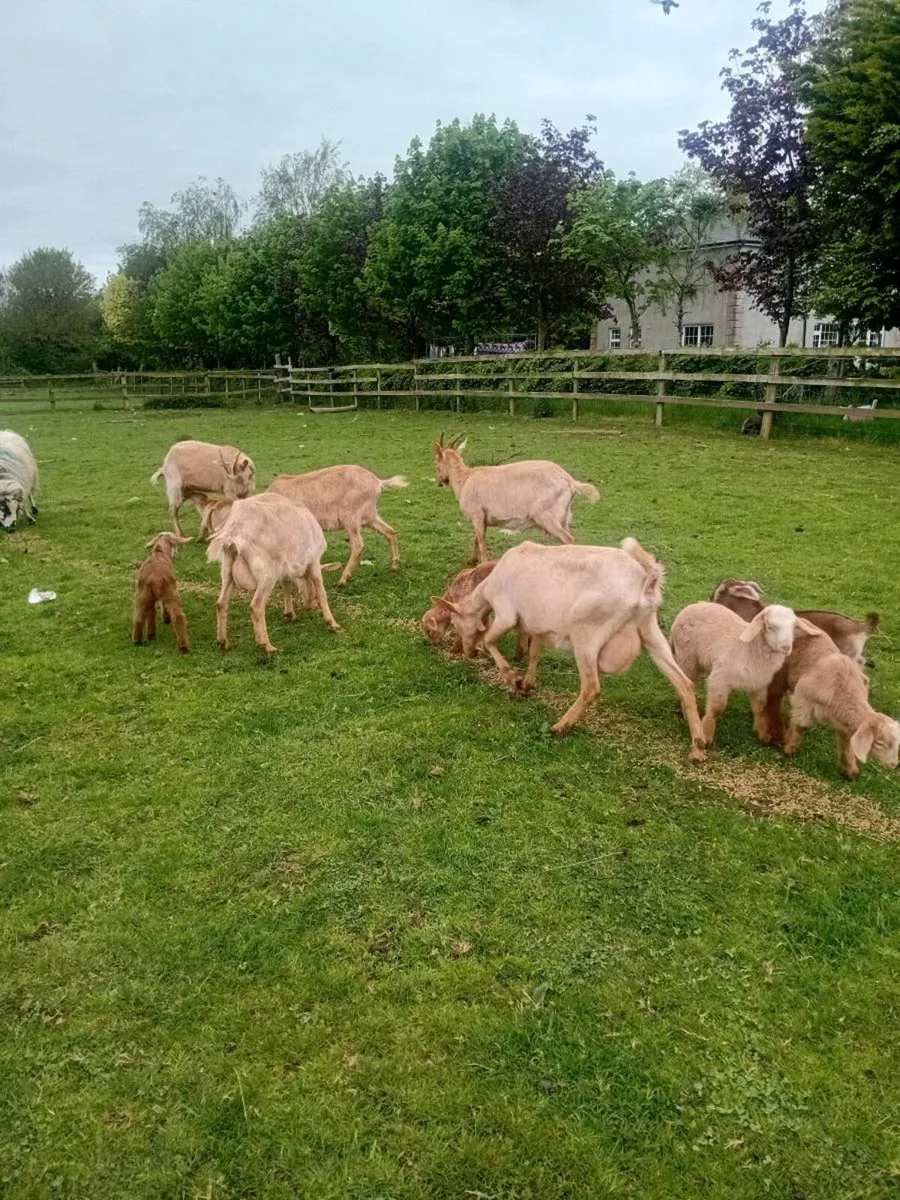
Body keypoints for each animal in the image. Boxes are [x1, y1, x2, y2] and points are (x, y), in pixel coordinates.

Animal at [207, 493, 340, 655]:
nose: (309, 605)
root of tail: (234, 531)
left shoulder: (285, 570)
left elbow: (286, 588)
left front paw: (290, 614)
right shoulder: (314, 559)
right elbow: (321, 590)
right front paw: (333, 624)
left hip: (227, 571)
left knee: (221, 603)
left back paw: (223, 642)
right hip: (267, 574)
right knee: (256, 606)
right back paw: (267, 646)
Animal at [267, 465, 408, 585]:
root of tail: (377, 482)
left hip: (350, 516)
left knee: (358, 545)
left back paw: (343, 579)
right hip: (370, 516)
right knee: (390, 532)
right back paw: (394, 566)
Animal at [431, 537, 707, 760]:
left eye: (456, 623)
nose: (466, 652)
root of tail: (644, 582)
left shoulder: (506, 613)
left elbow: (490, 640)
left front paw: (512, 677)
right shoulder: (539, 626)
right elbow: (534, 653)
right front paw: (526, 684)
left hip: (587, 633)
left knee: (591, 686)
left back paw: (561, 726)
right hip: (650, 631)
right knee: (684, 683)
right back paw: (698, 745)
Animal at [433, 433, 600, 564]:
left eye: (436, 462)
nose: (440, 482)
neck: (465, 479)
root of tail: (570, 481)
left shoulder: (477, 514)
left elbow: (481, 540)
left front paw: (482, 563)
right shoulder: (482, 518)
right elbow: (476, 538)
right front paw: (472, 560)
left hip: (547, 516)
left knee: (568, 539)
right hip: (564, 516)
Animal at [671, 601, 824, 746]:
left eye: (793, 627)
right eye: (769, 626)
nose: (786, 647)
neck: (750, 649)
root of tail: (690, 607)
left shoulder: (760, 683)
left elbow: (760, 707)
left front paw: (763, 733)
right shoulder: (720, 678)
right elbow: (716, 708)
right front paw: (707, 735)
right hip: (687, 658)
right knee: (684, 684)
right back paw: (686, 714)